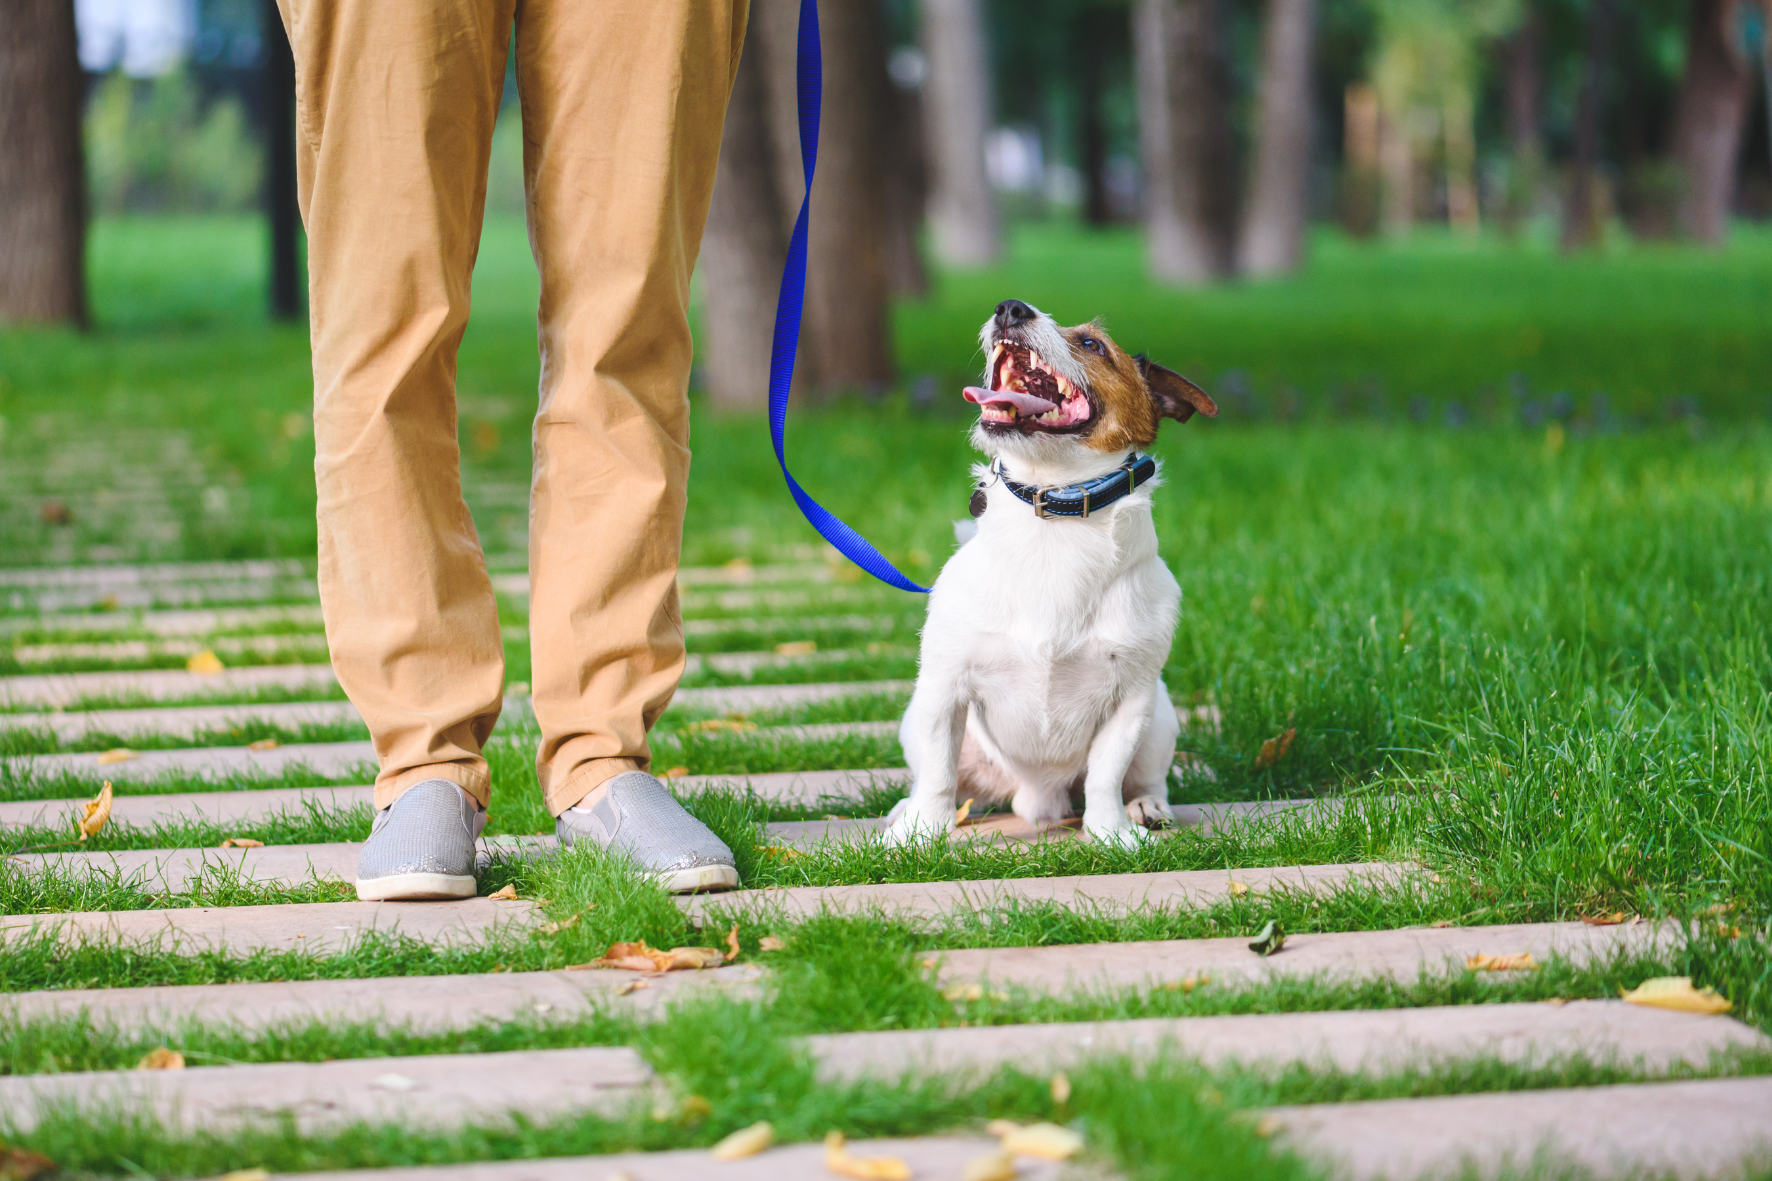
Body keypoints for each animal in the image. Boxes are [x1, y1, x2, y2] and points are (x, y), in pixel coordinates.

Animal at [886, 294, 1219, 847]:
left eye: (1091, 344)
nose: (1010, 307)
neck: (1054, 515)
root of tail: (1034, 798)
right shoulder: (943, 688)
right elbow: (937, 776)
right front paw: (917, 835)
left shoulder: (1132, 700)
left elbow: (1106, 775)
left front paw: (1111, 833)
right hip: (920, 720)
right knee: (949, 781)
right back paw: (906, 811)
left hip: (1160, 719)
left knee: (1146, 777)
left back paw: (1146, 807)